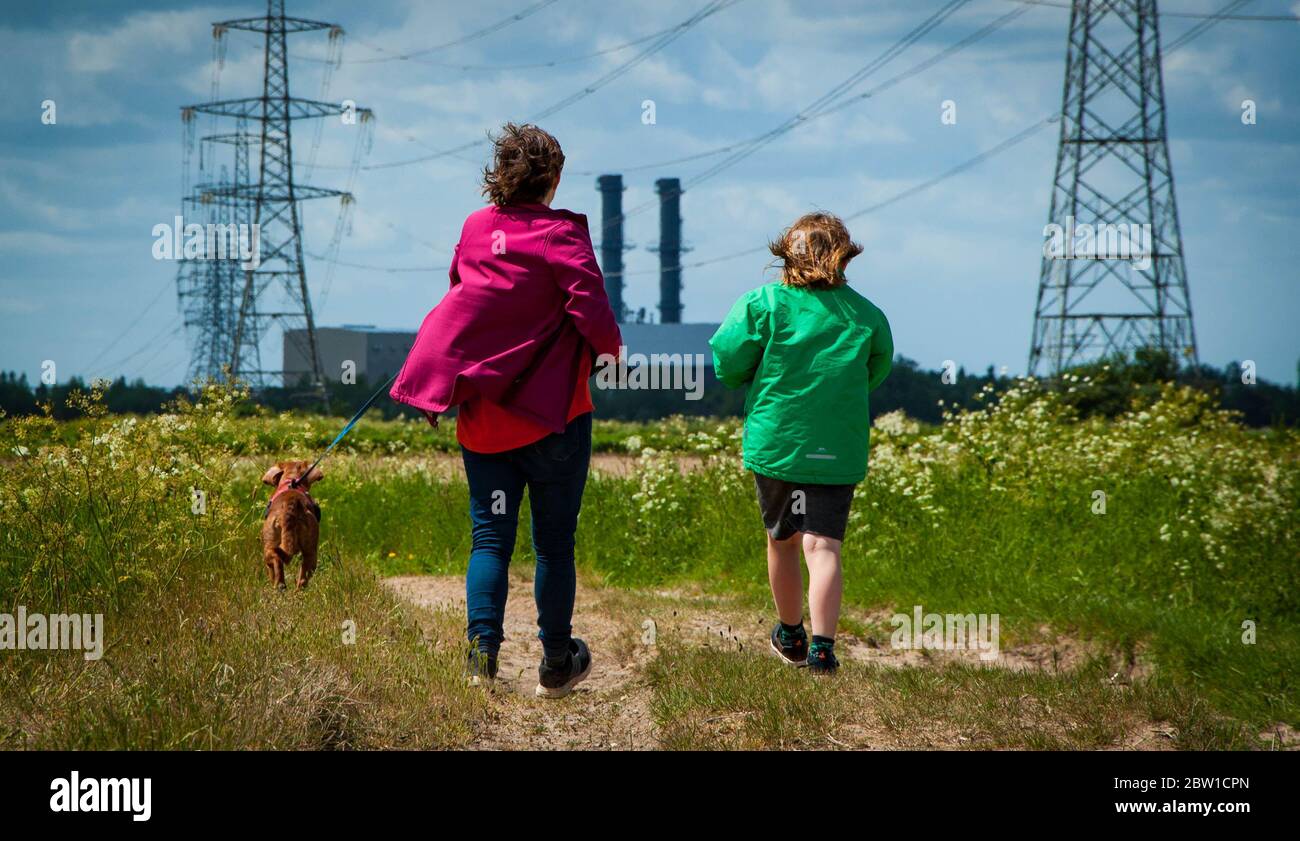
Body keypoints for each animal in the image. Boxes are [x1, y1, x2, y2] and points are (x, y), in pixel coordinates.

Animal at [257, 460, 321, 592]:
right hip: (310, 553)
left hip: (269, 549)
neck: (291, 479)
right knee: (302, 580)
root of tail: (291, 503)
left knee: (277, 563)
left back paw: (280, 587)